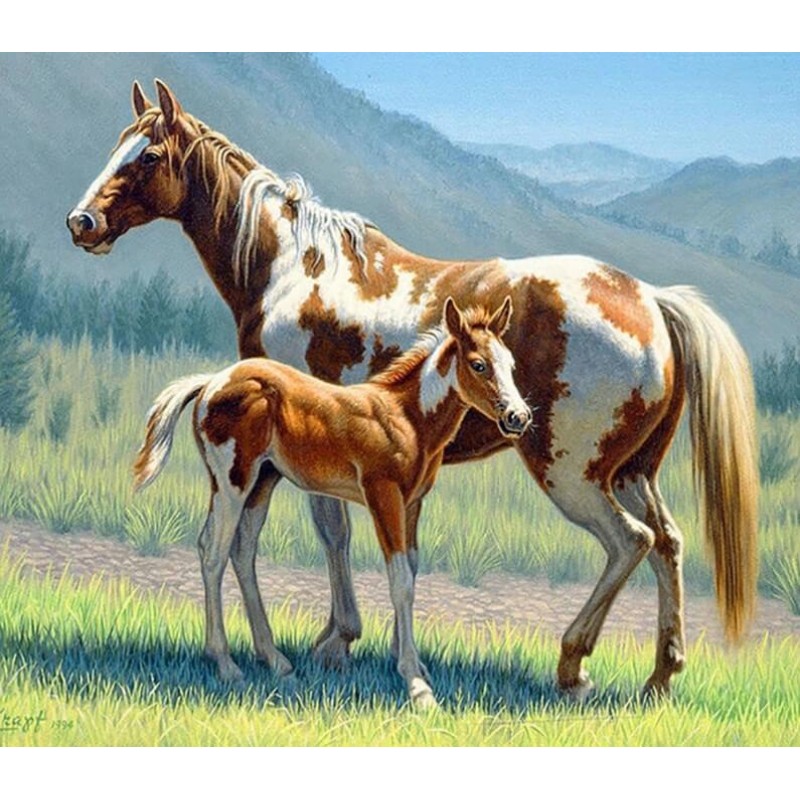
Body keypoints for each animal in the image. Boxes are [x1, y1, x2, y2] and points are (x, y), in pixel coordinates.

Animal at [133, 296, 530, 707]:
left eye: (511, 364)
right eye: (479, 364)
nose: (519, 417)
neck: (407, 417)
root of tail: (212, 382)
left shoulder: (412, 503)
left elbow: (411, 573)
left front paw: (417, 668)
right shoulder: (382, 495)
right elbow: (400, 581)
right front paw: (416, 686)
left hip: (262, 482)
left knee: (241, 550)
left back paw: (276, 661)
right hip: (231, 483)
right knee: (213, 552)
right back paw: (227, 665)